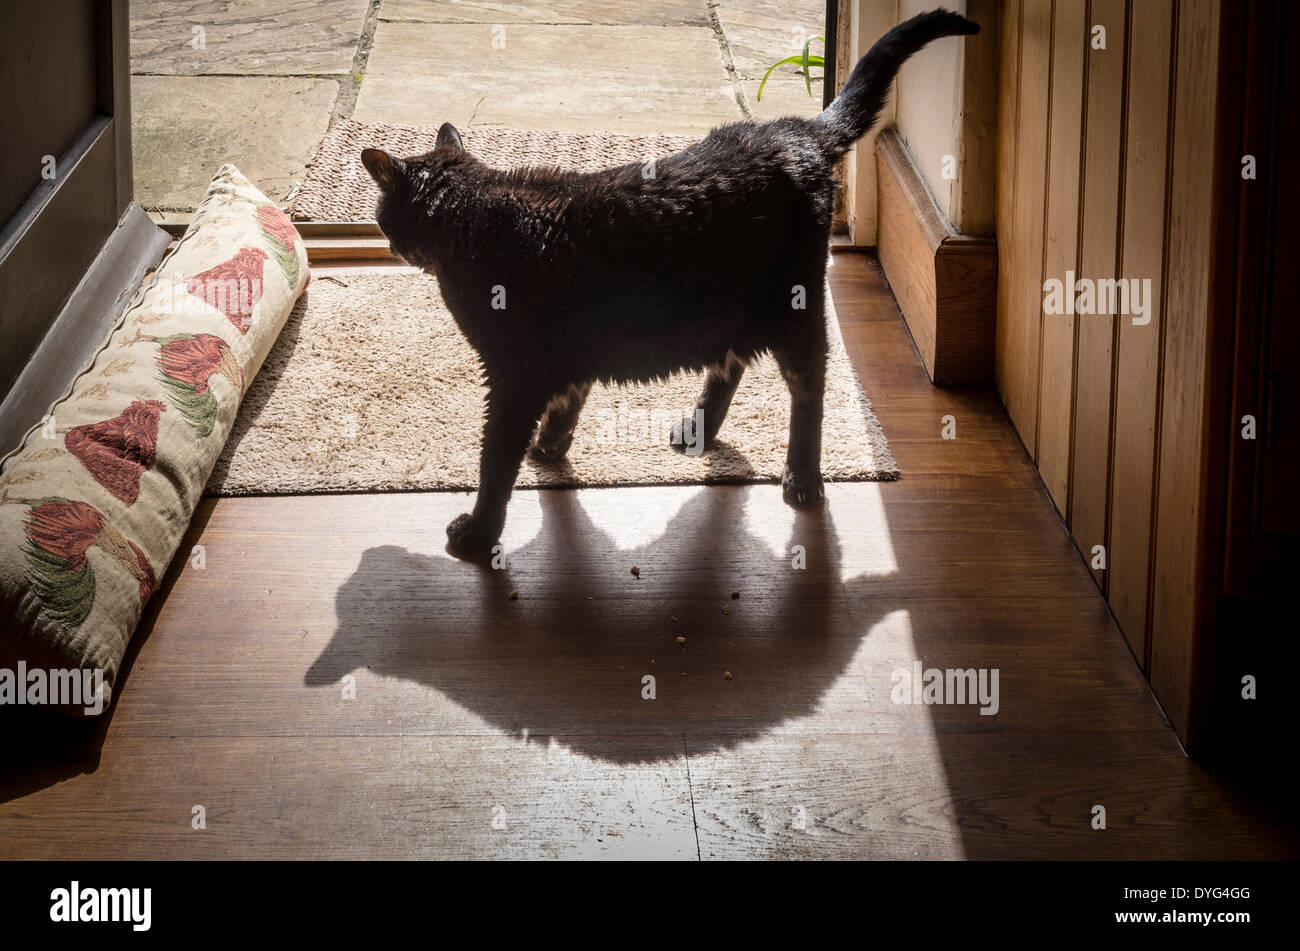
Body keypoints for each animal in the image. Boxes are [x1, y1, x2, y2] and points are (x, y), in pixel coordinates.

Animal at [361, 9, 977, 556]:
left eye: (382, 216)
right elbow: (567, 402)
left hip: (794, 311)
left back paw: (802, 477)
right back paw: (700, 428)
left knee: (809, 388)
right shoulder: (565, 357)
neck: (474, 217)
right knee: (731, 362)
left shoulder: (515, 375)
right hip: (728, 308)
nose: (388, 243)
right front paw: (551, 448)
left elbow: (495, 461)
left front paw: (479, 532)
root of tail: (797, 131)